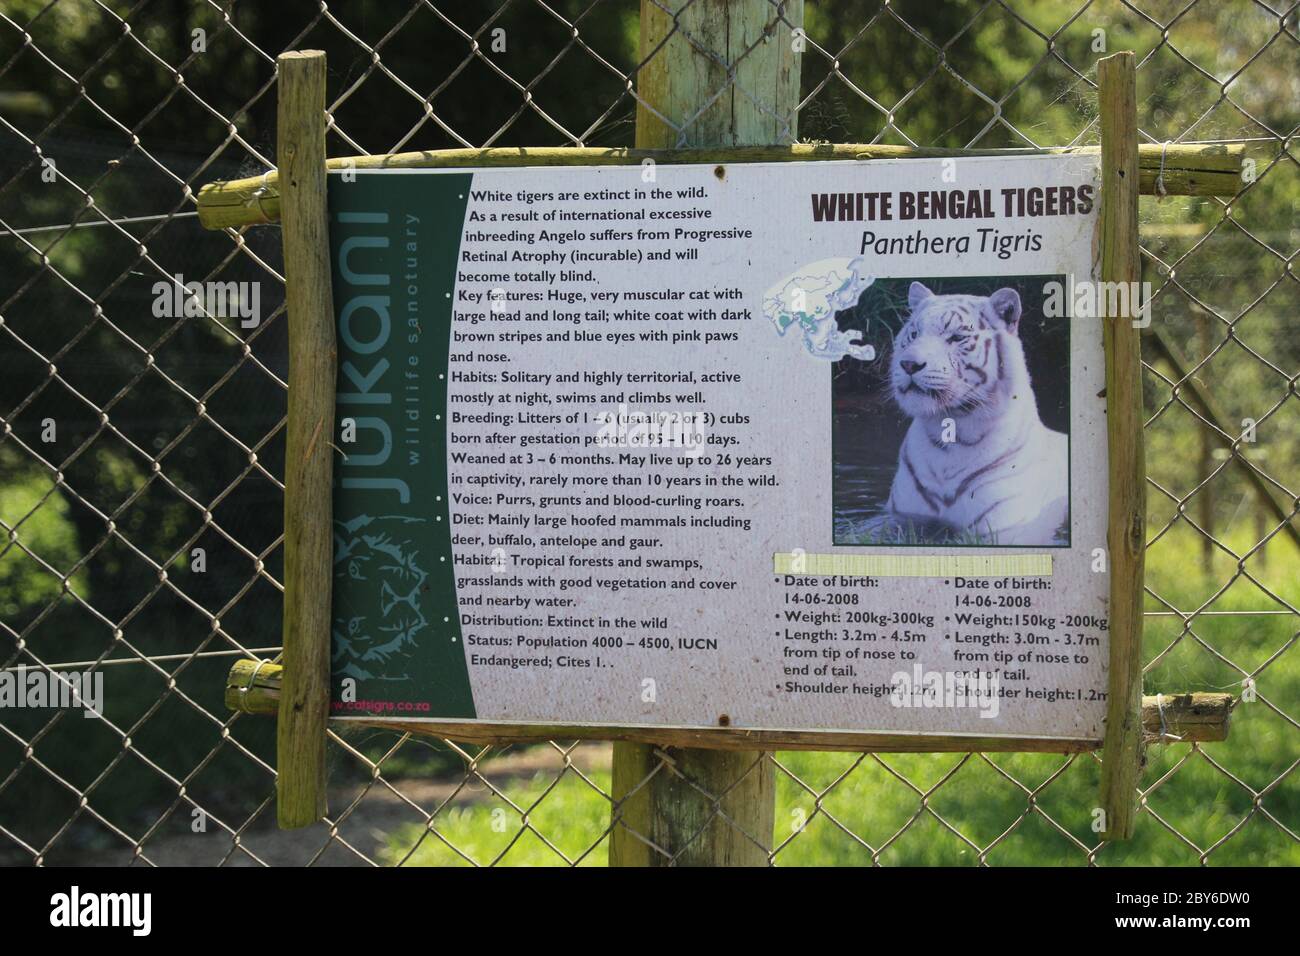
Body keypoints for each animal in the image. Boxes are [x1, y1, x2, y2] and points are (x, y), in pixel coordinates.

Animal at [883, 280, 1066, 546]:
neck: (947, 442)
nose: (908, 364)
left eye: (956, 337)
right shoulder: (902, 518)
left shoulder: (1000, 527)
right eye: (914, 334)